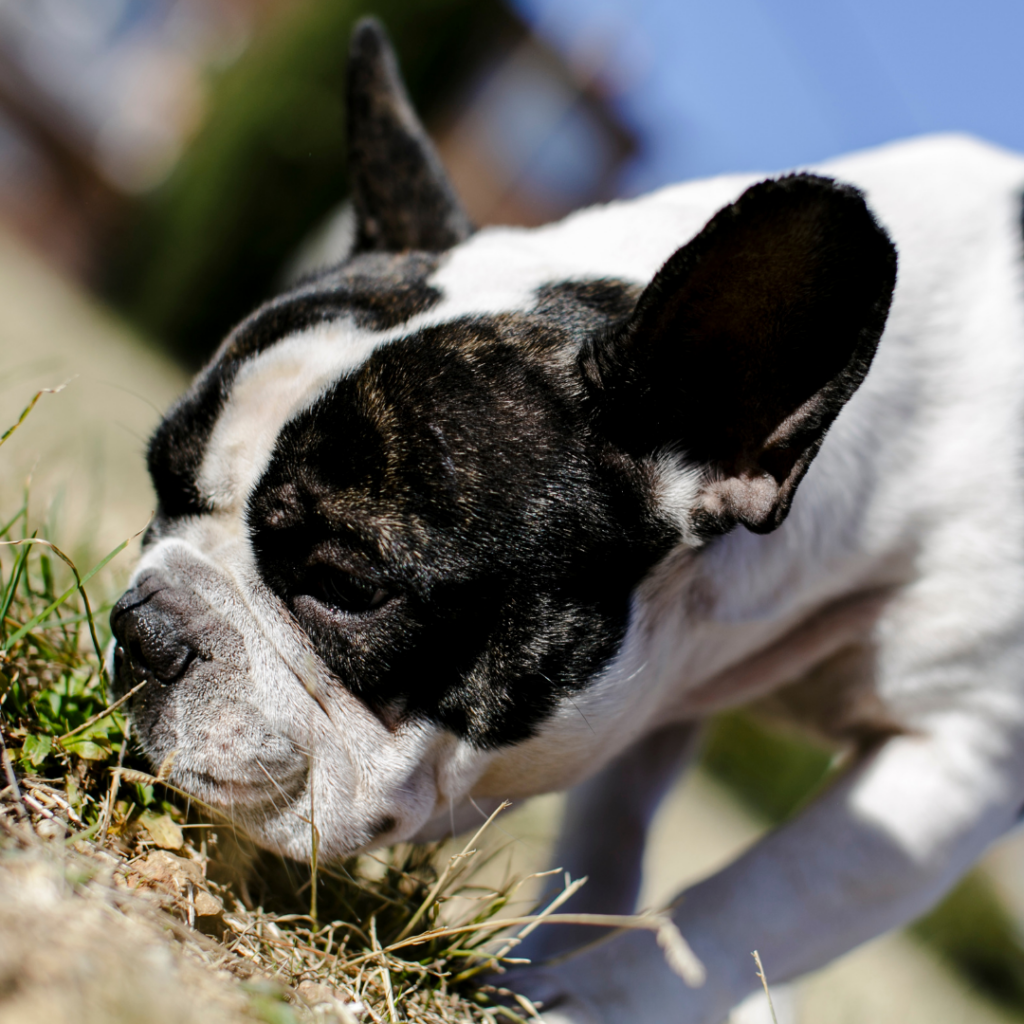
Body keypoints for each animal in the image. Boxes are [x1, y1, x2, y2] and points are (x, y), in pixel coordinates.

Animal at [105, 18, 1024, 1024]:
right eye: (158, 479)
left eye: (346, 587)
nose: (142, 631)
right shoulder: (654, 690)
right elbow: (611, 843)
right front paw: (551, 964)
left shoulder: (957, 754)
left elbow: (747, 905)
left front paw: (586, 998)